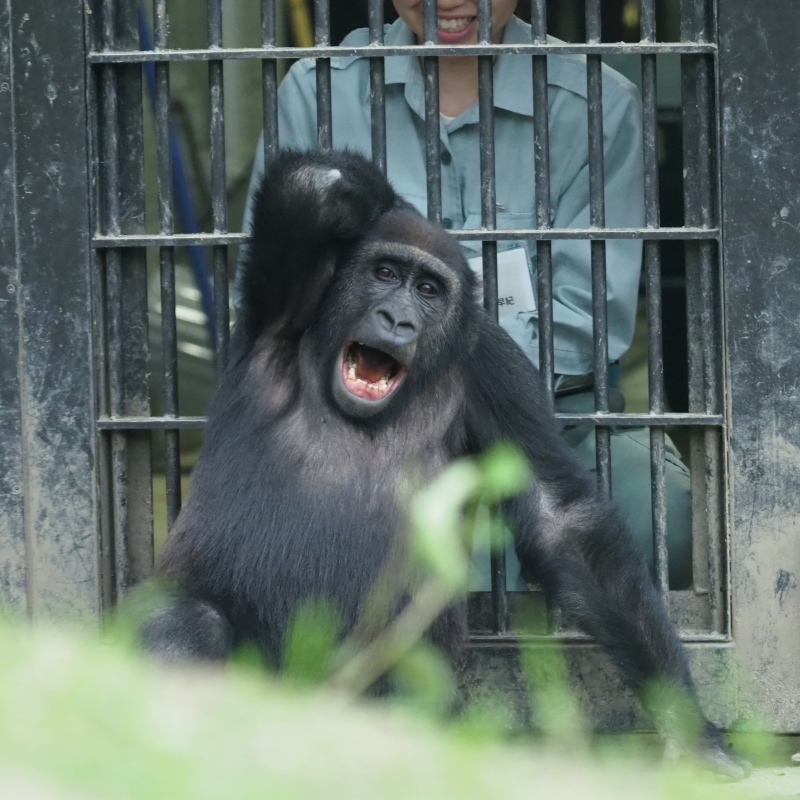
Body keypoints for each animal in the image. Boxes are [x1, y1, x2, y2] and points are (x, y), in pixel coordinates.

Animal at [142, 148, 744, 776]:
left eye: (428, 289)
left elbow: (559, 518)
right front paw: (378, 200)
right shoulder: (282, 305)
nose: (397, 319)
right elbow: (314, 186)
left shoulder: (495, 367)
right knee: (184, 624)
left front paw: (687, 727)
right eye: (385, 273)